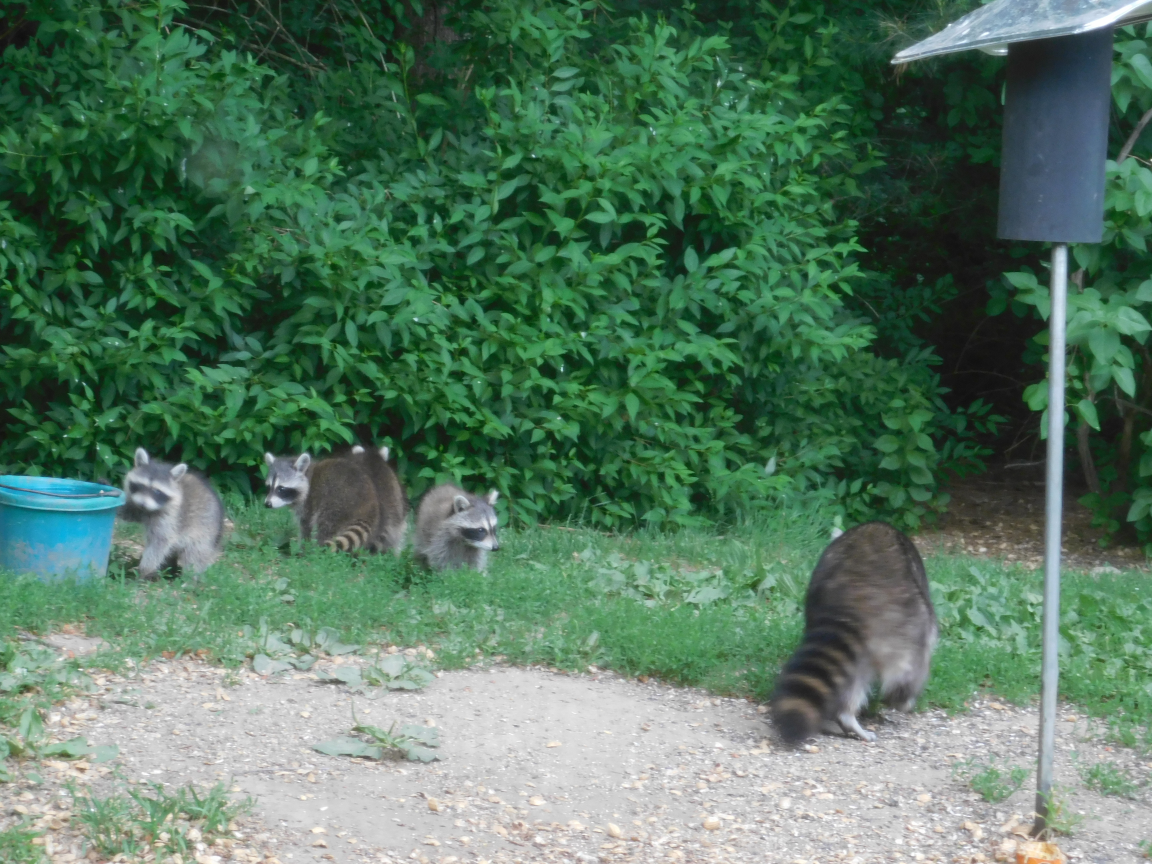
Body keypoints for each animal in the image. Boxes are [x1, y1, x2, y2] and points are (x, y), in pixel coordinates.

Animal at [121, 446, 224, 582]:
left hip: (205, 533)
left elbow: (160, 542)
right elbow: (130, 512)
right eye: (140, 485)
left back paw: (190, 579)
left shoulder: (171, 517)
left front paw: (144, 569)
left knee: (194, 556)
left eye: (157, 491)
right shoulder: (139, 507)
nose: (142, 504)